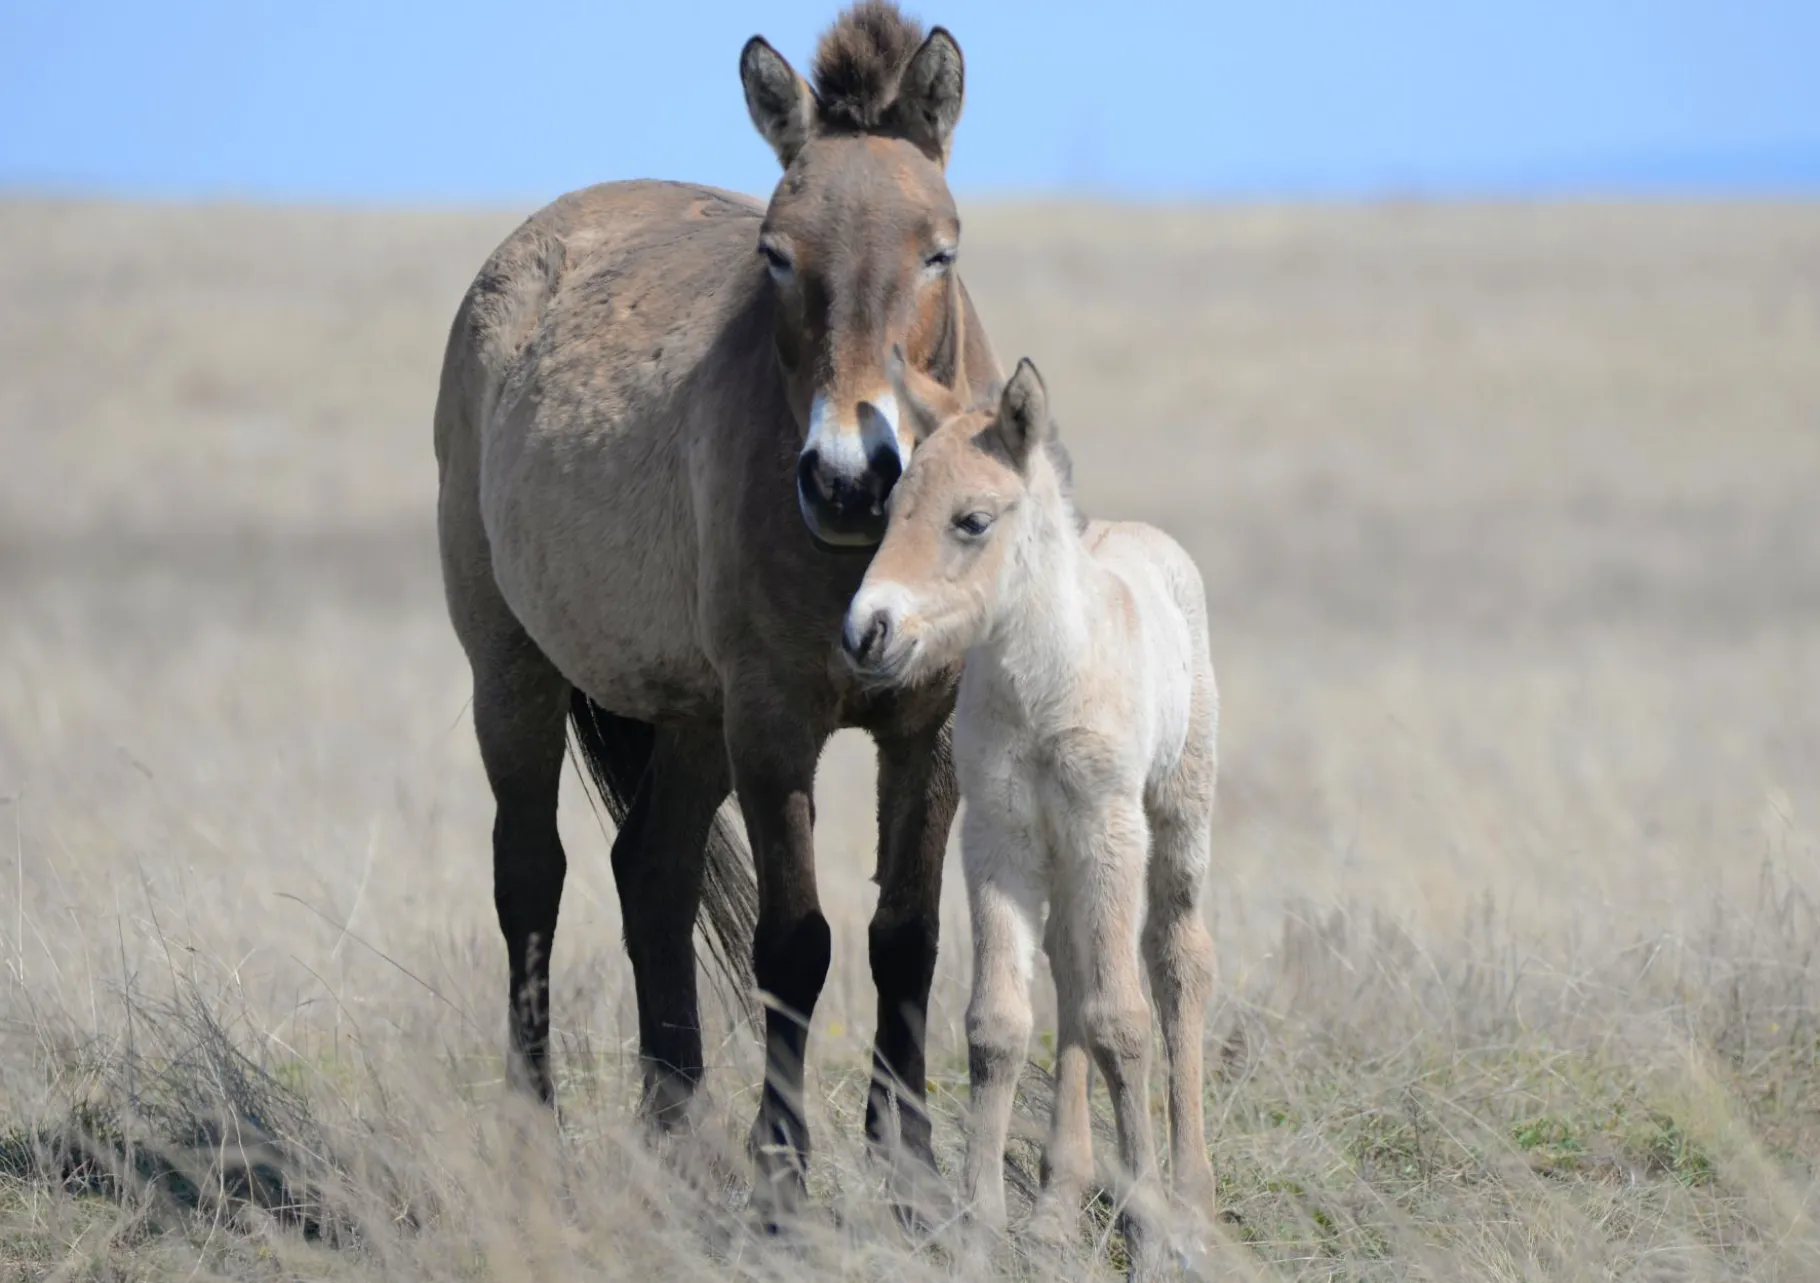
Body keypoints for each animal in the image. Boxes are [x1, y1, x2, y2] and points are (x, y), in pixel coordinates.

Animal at [429, 0, 997, 1215]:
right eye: (776, 255)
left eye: (940, 249)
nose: (850, 477)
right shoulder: (774, 721)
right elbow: (796, 943)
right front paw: (781, 1175)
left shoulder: (927, 725)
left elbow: (907, 935)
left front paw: (911, 1171)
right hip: (515, 672)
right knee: (530, 873)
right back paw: (537, 1132)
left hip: (690, 718)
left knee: (651, 870)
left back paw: (673, 1129)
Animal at [840, 353, 1223, 1273]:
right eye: (890, 512)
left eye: (972, 520)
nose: (866, 632)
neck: (1044, 687)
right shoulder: (998, 839)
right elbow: (999, 1024)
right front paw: (980, 1232)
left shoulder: (1109, 827)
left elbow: (1123, 1021)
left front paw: (1149, 1240)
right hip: (1062, 854)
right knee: (1071, 965)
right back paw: (1056, 1204)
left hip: (1175, 815)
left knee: (1177, 961)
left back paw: (1192, 1204)